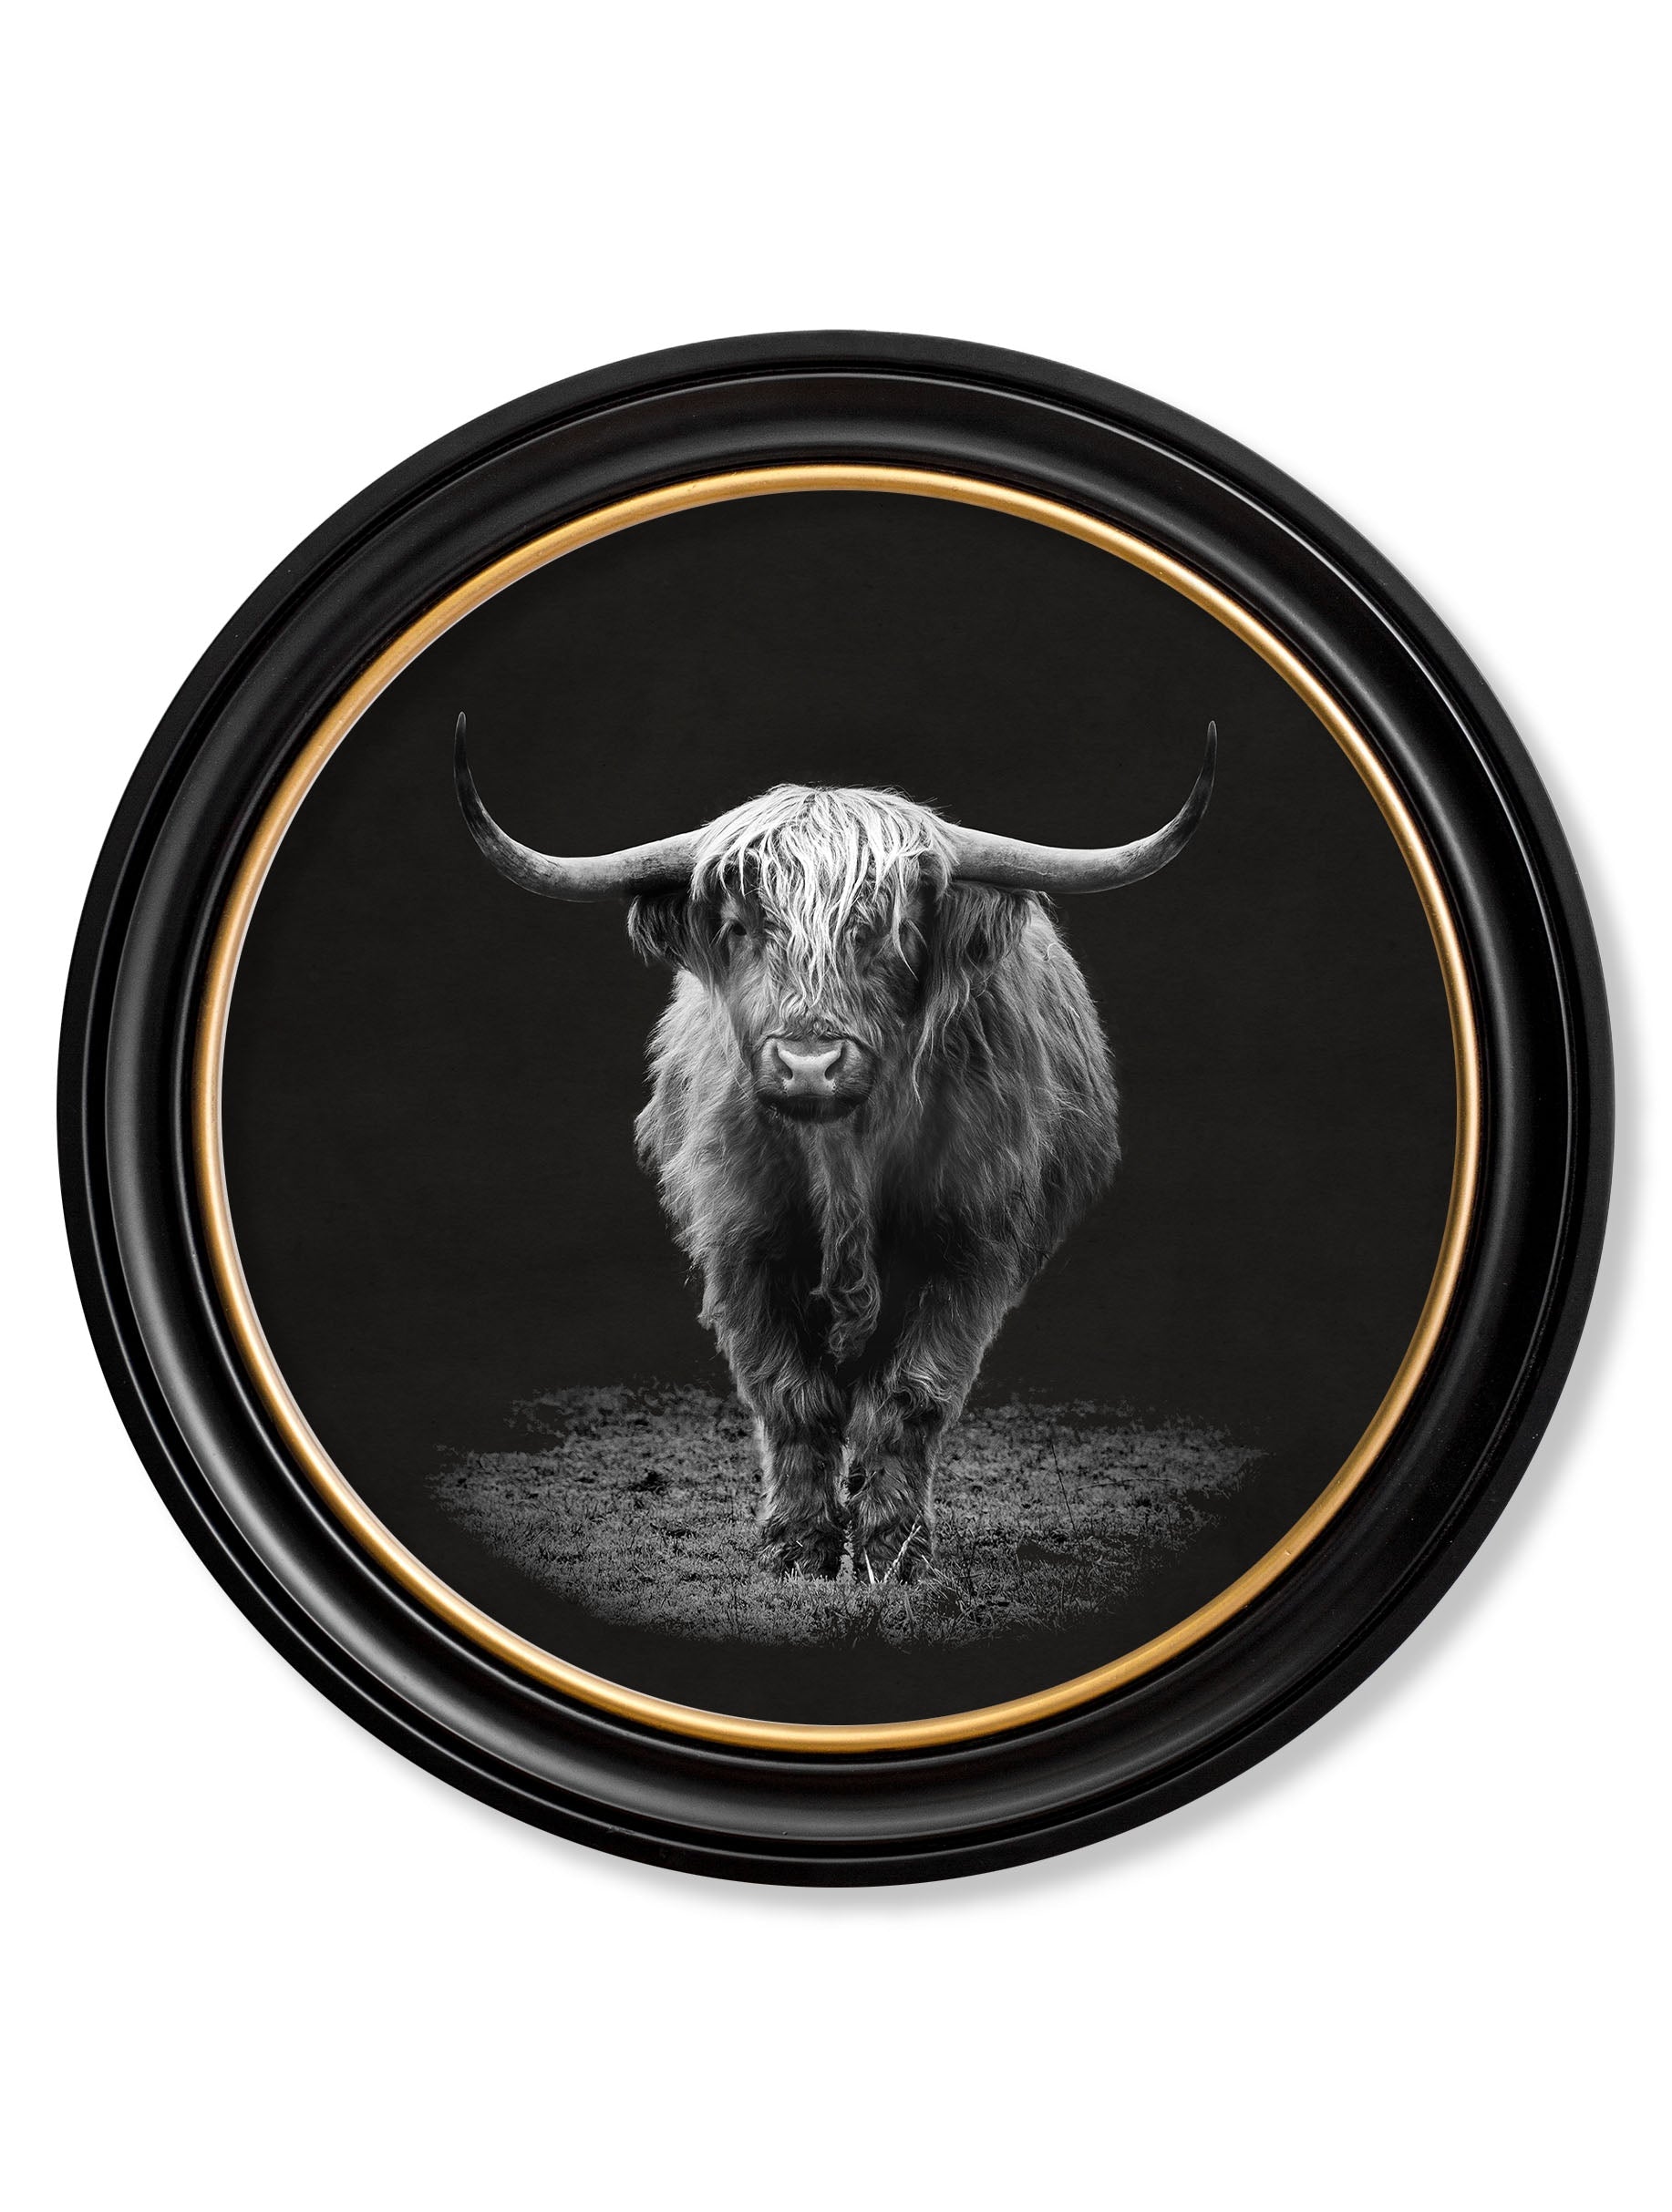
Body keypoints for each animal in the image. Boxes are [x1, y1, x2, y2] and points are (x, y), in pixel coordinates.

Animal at [455, 714, 1215, 1584]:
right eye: (739, 927)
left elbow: (911, 1396)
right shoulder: (741, 1245)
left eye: (888, 931)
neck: (845, 1160)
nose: (809, 1061)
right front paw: (798, 1549)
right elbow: (791, 1398)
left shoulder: (970, 1247)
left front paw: (894, 1552)